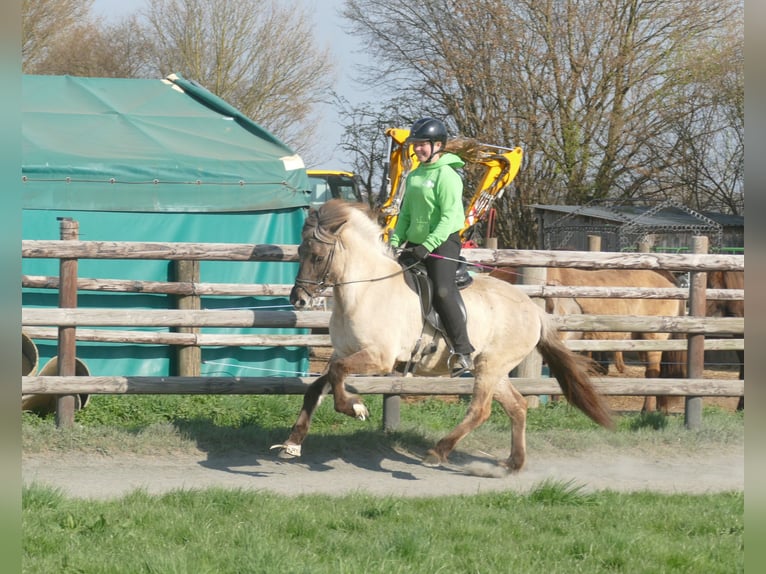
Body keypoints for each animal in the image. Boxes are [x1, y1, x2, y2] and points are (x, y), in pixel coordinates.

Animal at [273, 200, 613, 472]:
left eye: (318, 256)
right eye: (300, 251)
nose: (298, 300)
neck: (365, 291)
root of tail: (533, 308)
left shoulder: (379, 358)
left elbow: (337, 374)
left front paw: (354, 408)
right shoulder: (343, 351)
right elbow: (320, 384)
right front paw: (293, 442)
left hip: (490, 367)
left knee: (480, 410)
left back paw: (438, 452)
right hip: (492, 367)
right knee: (516, 406)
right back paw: (513, 463)